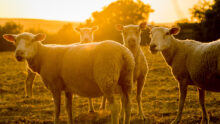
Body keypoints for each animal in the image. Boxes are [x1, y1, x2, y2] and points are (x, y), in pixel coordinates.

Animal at [3, 32, 134, 124]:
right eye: (15, 42)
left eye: (32, 41)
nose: (18, 54)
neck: (42, 55)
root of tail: (123, 53)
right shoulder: (68, 88)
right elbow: (68, 109)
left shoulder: (55, 86)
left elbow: (57, 110)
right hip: (126, 81)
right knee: (127, 105)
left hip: (107, 80)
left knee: (115, 108)